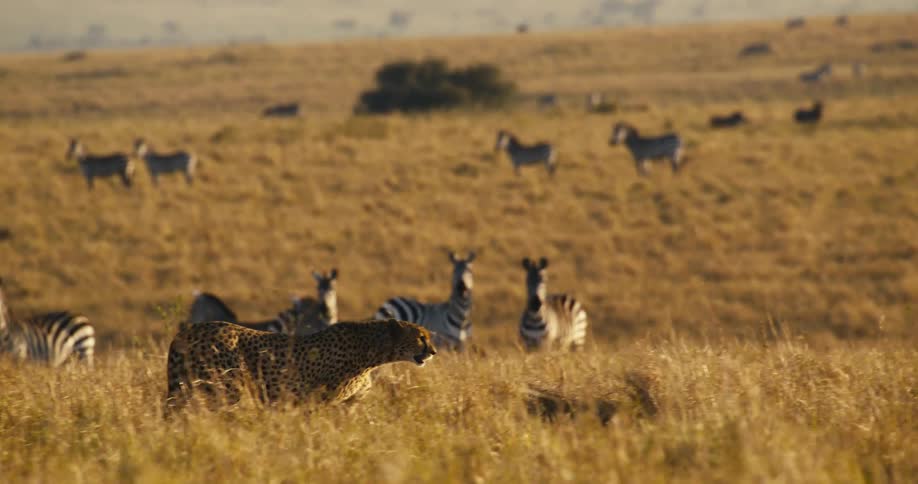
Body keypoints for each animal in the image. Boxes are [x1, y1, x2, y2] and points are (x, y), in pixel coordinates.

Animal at [163, 318, 436, 415]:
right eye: (421, 337)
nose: (433, 352)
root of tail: (190, 329)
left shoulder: (347, 403)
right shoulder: (317, 400)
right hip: (225, 389)